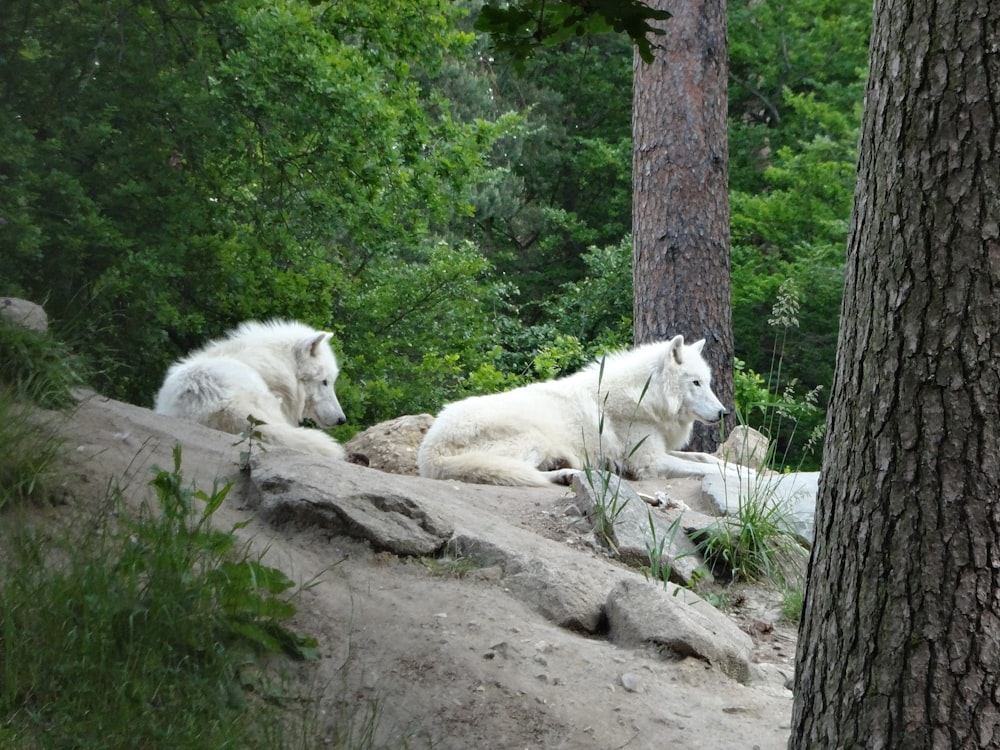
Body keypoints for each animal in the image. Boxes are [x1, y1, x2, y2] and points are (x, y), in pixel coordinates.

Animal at [418, 334, 740, 488]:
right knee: (518, 471)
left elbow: (709, 459)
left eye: (708, 382)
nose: (723, 413)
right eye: (696, 383)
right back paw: (569, 474)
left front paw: (750, 474)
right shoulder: (651, 463)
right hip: (535, 439)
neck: (644, 396)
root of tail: (429, 451)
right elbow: (706, 467)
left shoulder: (661, 449)